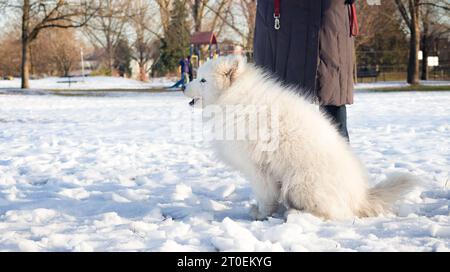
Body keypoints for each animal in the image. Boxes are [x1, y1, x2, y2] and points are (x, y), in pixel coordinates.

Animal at [185, 55, 416, 221]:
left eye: (202, 80)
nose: (183, 87)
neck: (235, 99)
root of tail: (360, 198)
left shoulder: (258, 168)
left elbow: (265, 196)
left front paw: (261, 214)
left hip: (300, 183)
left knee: (332, 213)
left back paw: (297, 213)